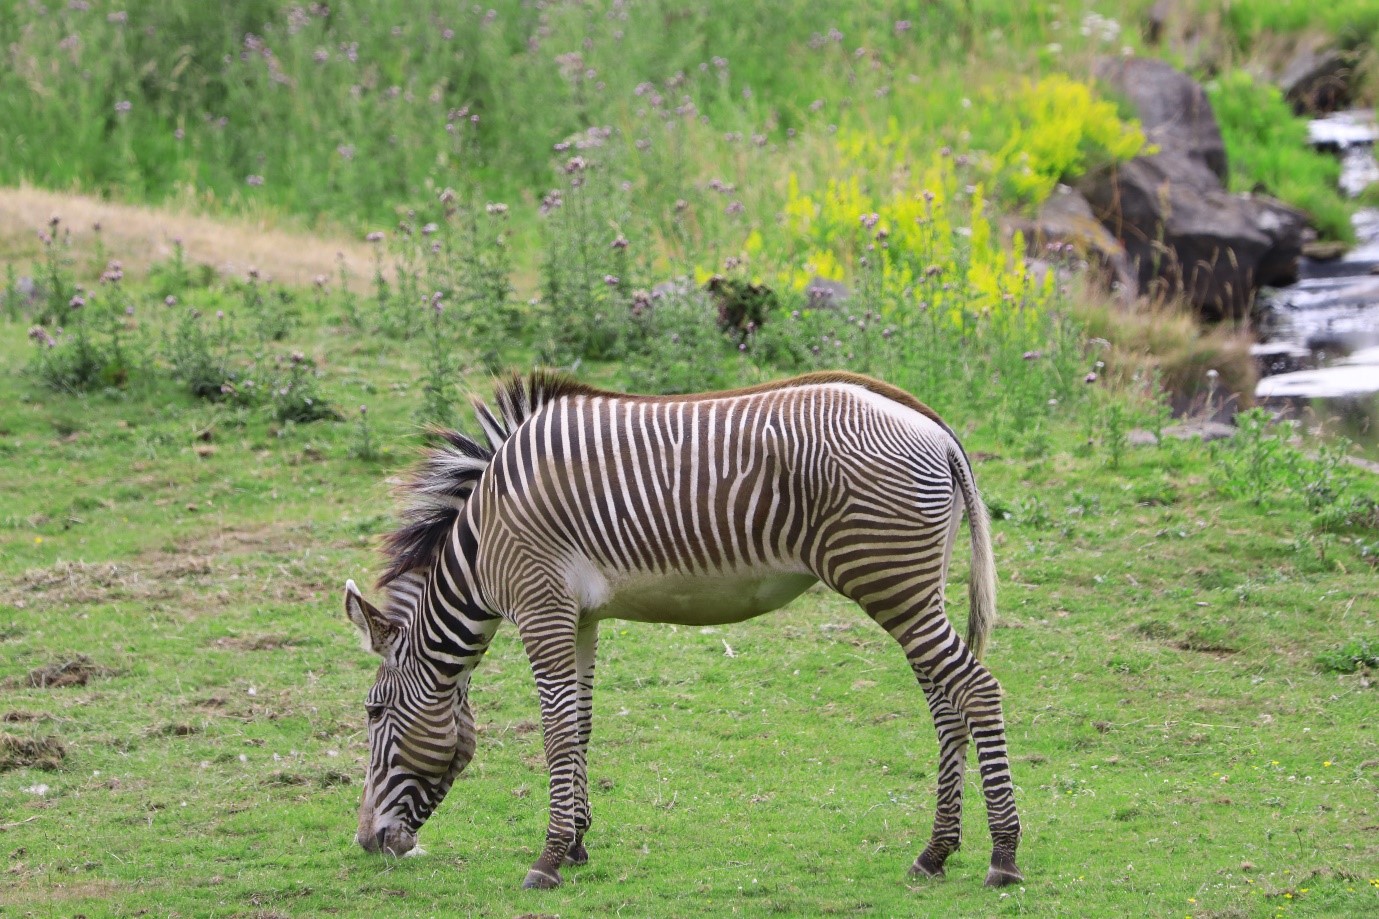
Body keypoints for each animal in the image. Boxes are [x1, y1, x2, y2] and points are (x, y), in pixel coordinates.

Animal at [344, 369, 1025, 888]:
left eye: (374, 712)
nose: (368, 843)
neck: (485, 536)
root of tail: (932, 426)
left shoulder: (542, 608)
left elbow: (557, 733)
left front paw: (549, 859)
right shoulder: (581, 617)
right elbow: (581, 727)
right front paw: (579, 844)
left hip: (890, 581)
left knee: (978, 690)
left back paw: (1003, 858)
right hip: (913, 587)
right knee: (946, 701)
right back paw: (935, 853)